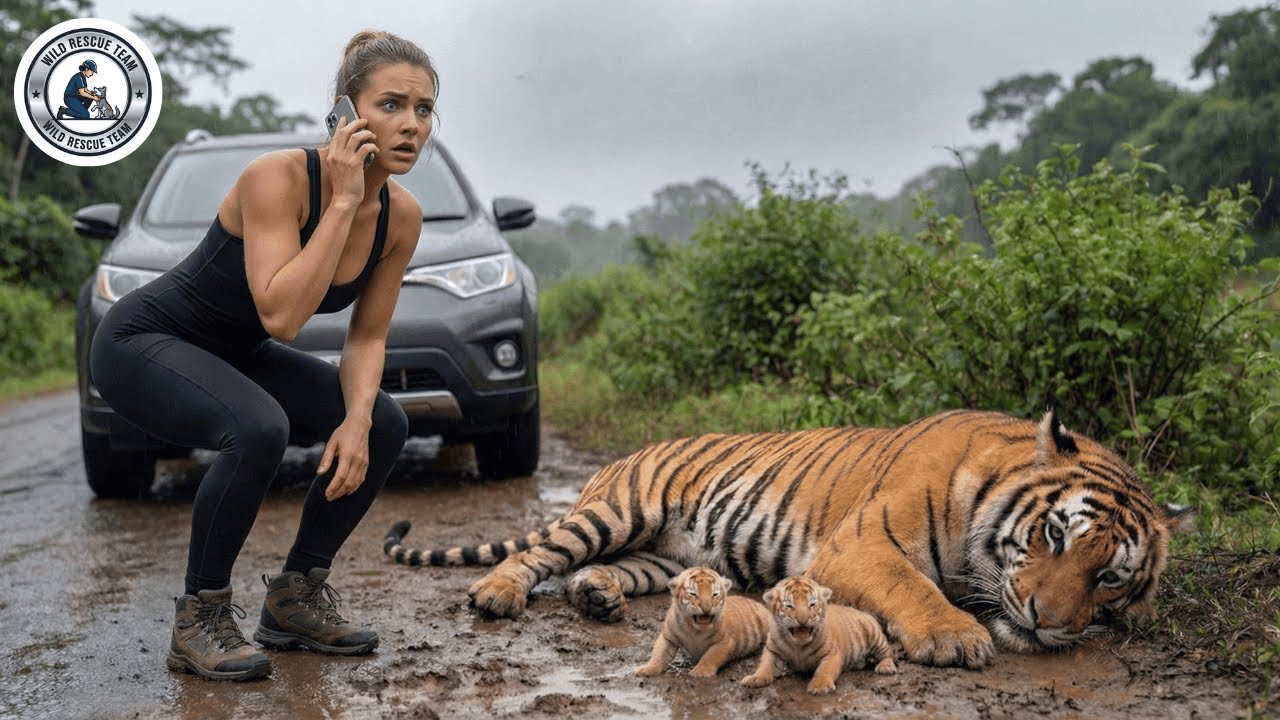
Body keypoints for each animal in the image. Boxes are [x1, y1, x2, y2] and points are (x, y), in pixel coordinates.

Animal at [634, 566, 770, 678]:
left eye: (714, 594)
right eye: (693, 594)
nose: (706, 608)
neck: (694, 629)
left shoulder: (723, 642)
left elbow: (710, 656)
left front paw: (700, 673)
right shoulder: (668, 637)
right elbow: (659, 653)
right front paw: (647, 669)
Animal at [742, 576, 896, 694]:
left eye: (812, 604)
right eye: (789, 605)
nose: (803, 619)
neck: (798, 645)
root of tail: (863, 612)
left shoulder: (831, 653)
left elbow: (824, 670)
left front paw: (819, 686)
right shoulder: (772, 651)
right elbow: (765, 665)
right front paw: (755, 678)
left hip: (876, 638)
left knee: (888, 653)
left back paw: (886, 667)